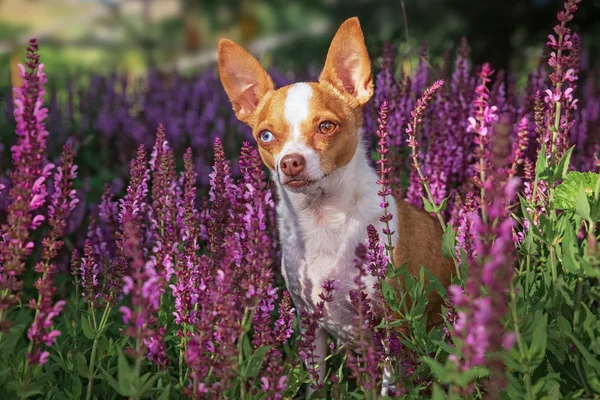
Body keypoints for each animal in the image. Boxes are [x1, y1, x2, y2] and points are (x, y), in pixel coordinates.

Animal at [218, 17, 452, 396]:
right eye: (265, 136)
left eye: (326, 126)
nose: (290, 162)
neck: (323, 219)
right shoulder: (309, 323)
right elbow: (316, 381)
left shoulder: (394, 325)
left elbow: (389, 384)